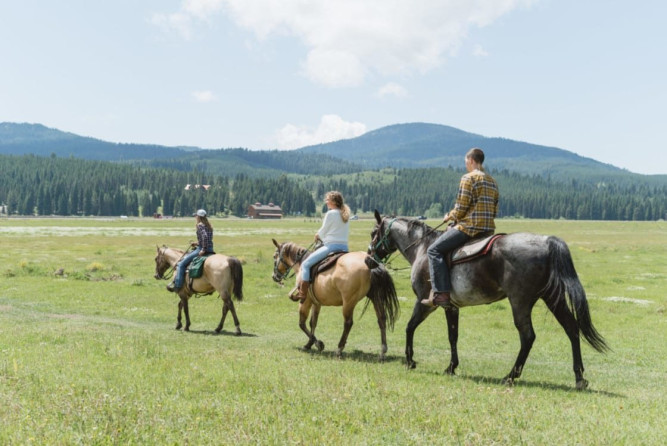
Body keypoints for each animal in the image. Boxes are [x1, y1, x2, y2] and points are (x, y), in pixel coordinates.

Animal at [270, 239, 400, 360]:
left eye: (275, 256)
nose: (274, 276)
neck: (302, 265)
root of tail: (370, 263)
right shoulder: (316, 303)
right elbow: (313, 322)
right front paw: (309, 344)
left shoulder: (305, 301)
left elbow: (302, 323)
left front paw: (318, 344)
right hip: (375, 297)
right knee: (381, 319)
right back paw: (382, 352)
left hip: (349, 302)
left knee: (348, 323)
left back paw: (339, 349)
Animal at [370, 211, 612, 388]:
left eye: (374, 232)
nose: (370, 257)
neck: (422, 248)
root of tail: (546, 241)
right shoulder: (451, 306)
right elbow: (452, 336)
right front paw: (451, 367)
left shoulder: (424, 302)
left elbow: (409, 327)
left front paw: (410, 360)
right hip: (552, 298)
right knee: (571, 328)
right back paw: (579, 378)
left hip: (520, 301)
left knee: (528, 336)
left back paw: (510, 376)